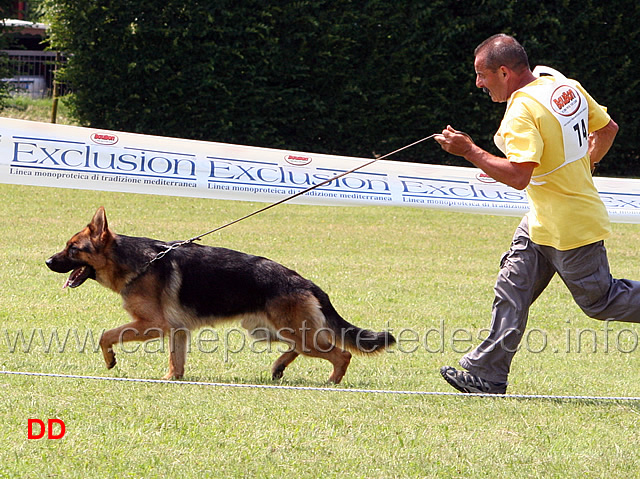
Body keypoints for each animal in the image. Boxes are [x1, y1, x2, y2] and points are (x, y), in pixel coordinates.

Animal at [46, 208, 396, 384]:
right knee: (300, 347)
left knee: (341, 354)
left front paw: (110, 360)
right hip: (267, 330)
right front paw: (171, 378)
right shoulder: (177, 331)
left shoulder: (152, 324)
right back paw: (279, 367)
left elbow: (105, 335)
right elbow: (176, 361)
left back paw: (331, 381)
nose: (47, 261)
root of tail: (306, 281)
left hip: (289, 330)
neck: (134, 262)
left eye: (72, 249)